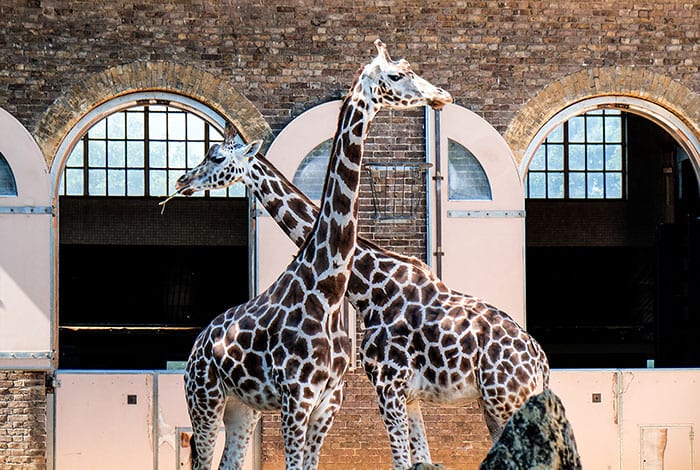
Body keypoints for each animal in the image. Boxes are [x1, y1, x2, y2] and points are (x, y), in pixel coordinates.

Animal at [176, 129, 550, 468]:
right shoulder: (407, 396)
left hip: (505, 401)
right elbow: (420, 459)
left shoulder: (387, 386)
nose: (182, 180)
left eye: (217, 157)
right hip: (499, 404)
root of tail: (541, 363)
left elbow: (401, 461)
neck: (371, 288)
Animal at [182, 39, 452, 470]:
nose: (183, 180)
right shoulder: (298, 397)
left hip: (242, 407)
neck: (330, 288)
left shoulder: (331, 399)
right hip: (207, 400)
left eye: (218, 157)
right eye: (396, 75)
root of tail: (196, 345)